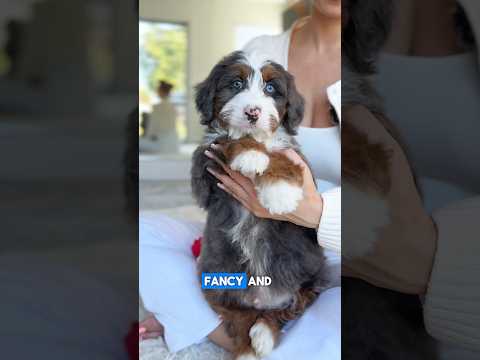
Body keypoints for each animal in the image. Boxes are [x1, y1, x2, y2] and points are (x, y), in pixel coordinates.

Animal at [190, 51, 326, 360]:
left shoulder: (297, 158)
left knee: (288, 308)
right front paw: (250, 154)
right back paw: (248, 349)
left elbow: (281, 155)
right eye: (236, 84)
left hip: (312, 276)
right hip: (216, 283)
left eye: (271, 89)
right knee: (239, 318)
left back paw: (264, 333)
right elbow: (227, 139)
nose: (253, 112)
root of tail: (261, 299)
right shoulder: (204, 170)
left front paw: (280, 193)